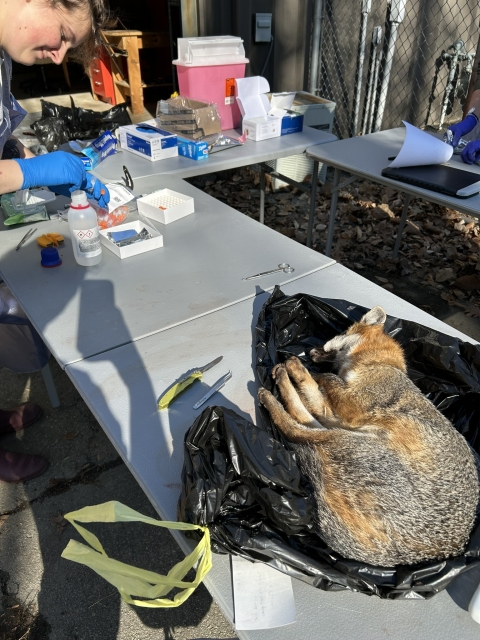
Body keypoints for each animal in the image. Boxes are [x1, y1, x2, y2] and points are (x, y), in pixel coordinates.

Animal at [257, 305, 479, 567]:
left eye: (343, 331)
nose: (310, 351)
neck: (379, 364)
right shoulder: (338, 414)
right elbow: (315, 395)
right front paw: (297, 370)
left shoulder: (350, 406)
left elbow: (325, 380)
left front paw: (302, 369)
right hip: (344, 434)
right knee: (303, 420)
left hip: (345, 439)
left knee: (295, 430)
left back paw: (273, 395)